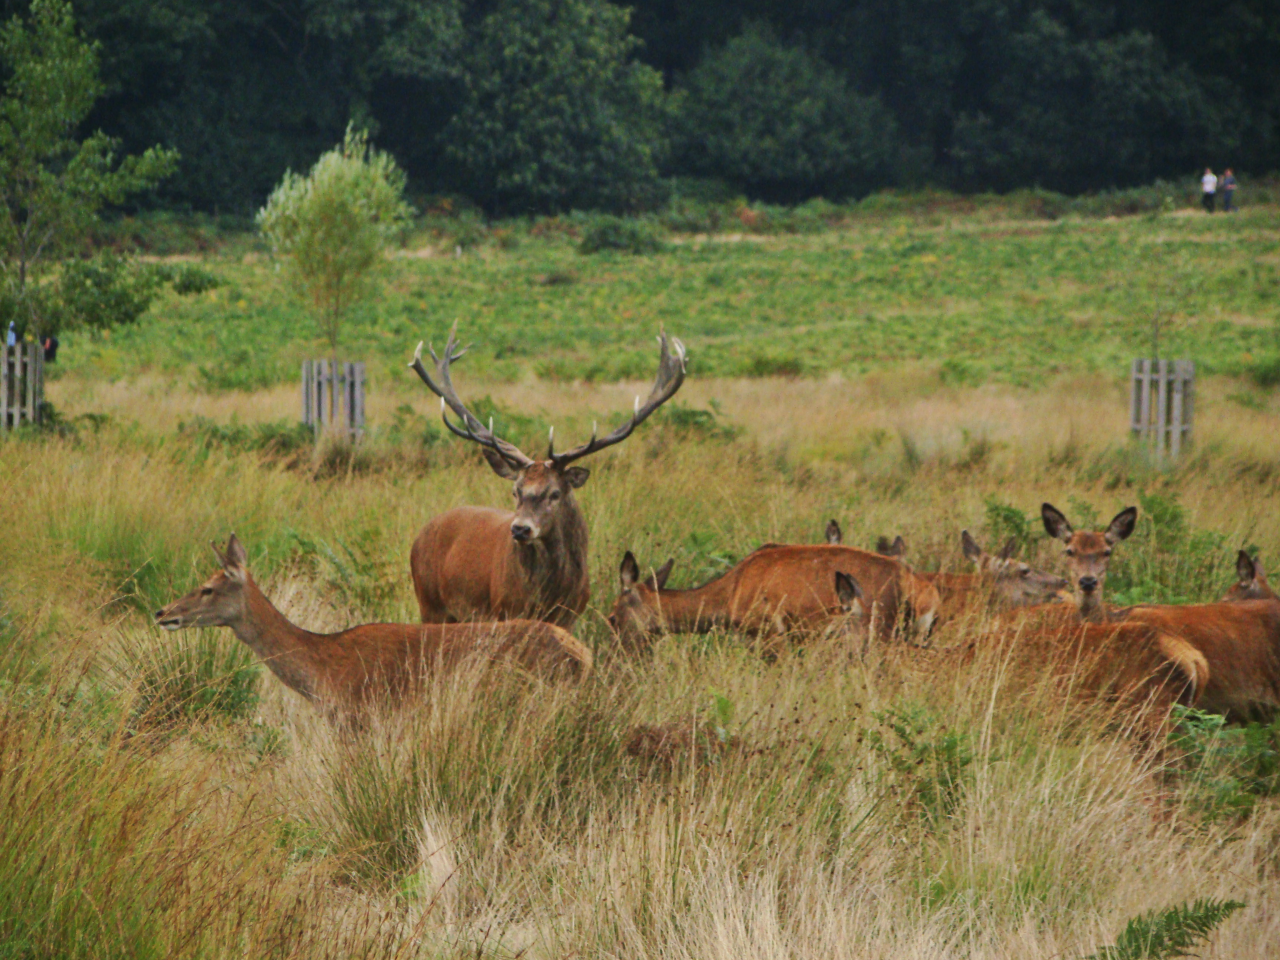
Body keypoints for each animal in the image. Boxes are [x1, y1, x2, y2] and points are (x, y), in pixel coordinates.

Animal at [409, 330, 691, 632]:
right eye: (515, 491)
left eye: (555, 494)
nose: (520, 529)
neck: (550, 596)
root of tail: (419, 536)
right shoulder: (504, 610)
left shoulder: (571, 614)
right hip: (429, 602)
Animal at [609, 542, 942, 655]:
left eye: (612, 616)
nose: (616, 657)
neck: (729, 597)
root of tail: (922, 589)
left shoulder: (770, 632)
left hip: (879, 632)